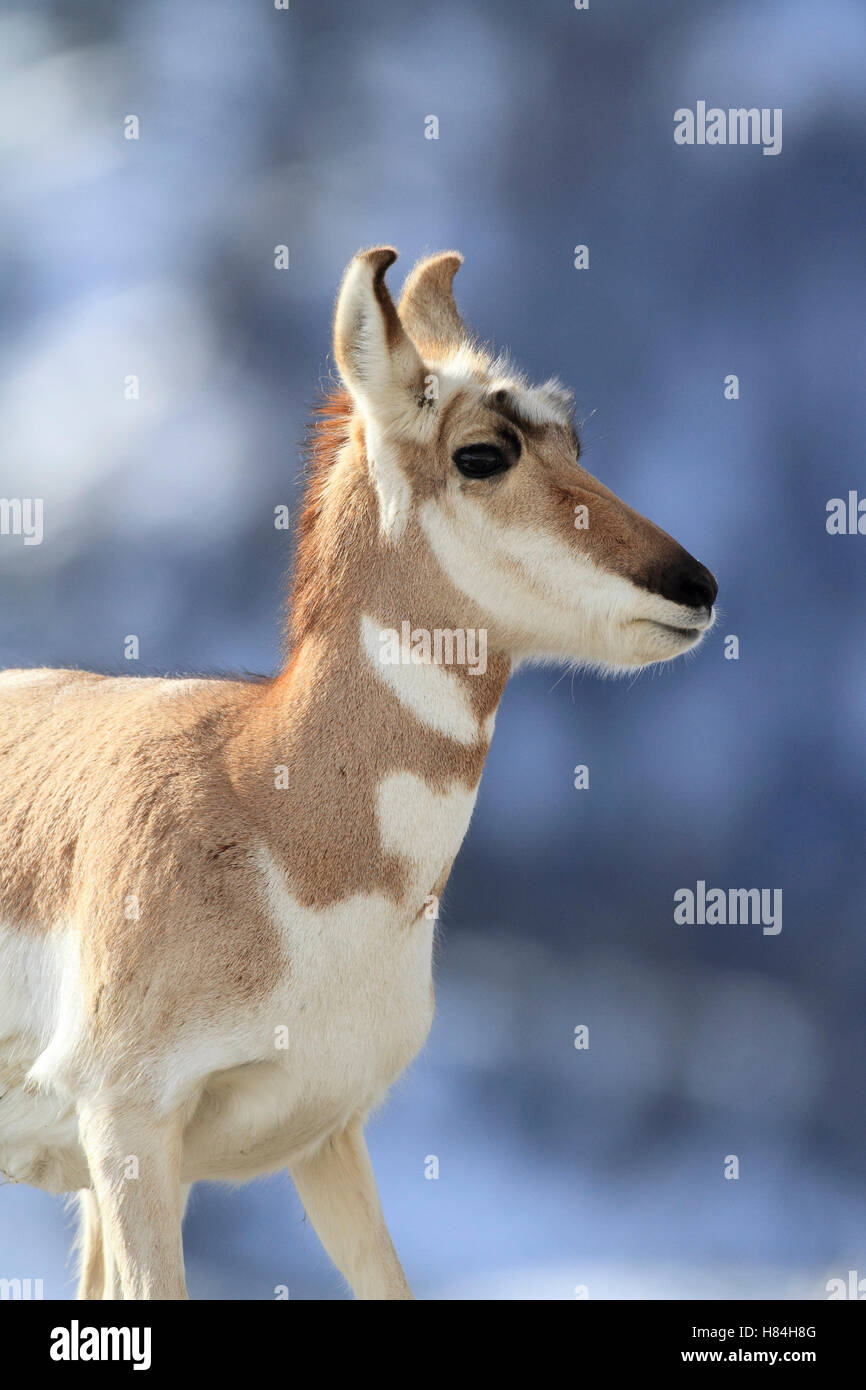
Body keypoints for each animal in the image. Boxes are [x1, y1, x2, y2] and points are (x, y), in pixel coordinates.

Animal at [0, 247, 717, 1300]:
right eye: (484, 451)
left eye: (573, 434)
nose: (694, 585)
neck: (270, 812)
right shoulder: (130, 1128)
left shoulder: (329, 1138)